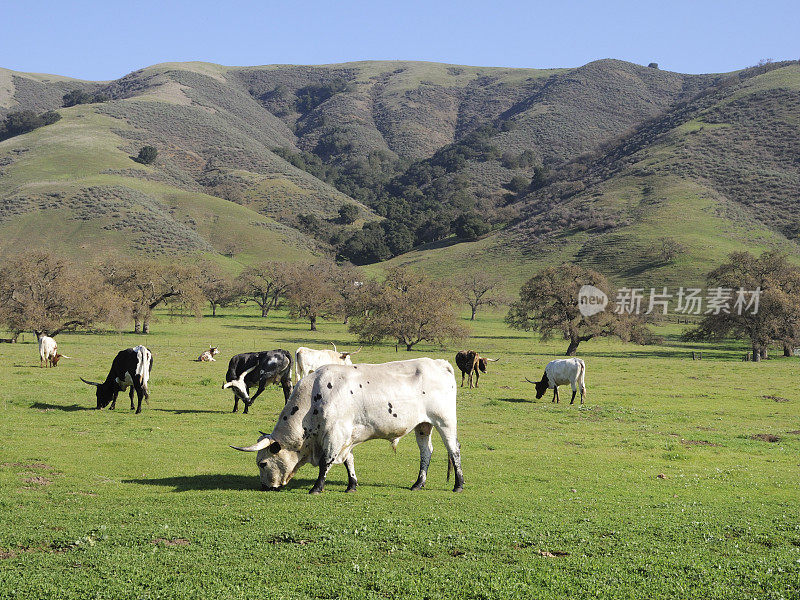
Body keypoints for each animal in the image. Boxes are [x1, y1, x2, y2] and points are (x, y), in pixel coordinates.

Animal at [231, 358, 462, 494]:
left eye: (262, 463)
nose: (264, 487)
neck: (314, 397)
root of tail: (439, 363)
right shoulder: (346, 437)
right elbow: (348, 461)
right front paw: (351, 485)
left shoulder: (335, 434)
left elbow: (325, 462)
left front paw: (317, 487)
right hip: (423, 425)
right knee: (426, 451)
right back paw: (418, 483)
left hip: (445, 421)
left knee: (454, 449)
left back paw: (458, 485)